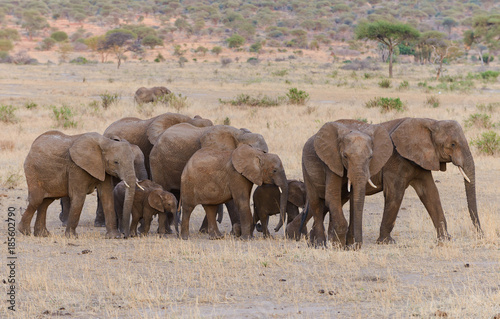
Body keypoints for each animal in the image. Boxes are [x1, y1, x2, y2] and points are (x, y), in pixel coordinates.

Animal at [296, 121, 394, 249]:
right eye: (345, 156)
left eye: (370, 157)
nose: (356, 246)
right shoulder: (332, 161)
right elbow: (332, 195)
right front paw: (340, 247)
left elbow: (353, 199)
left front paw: (346, 246)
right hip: (305, 169)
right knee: (316, 202)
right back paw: (320, 244)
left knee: (338, 202)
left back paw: (320, 243)